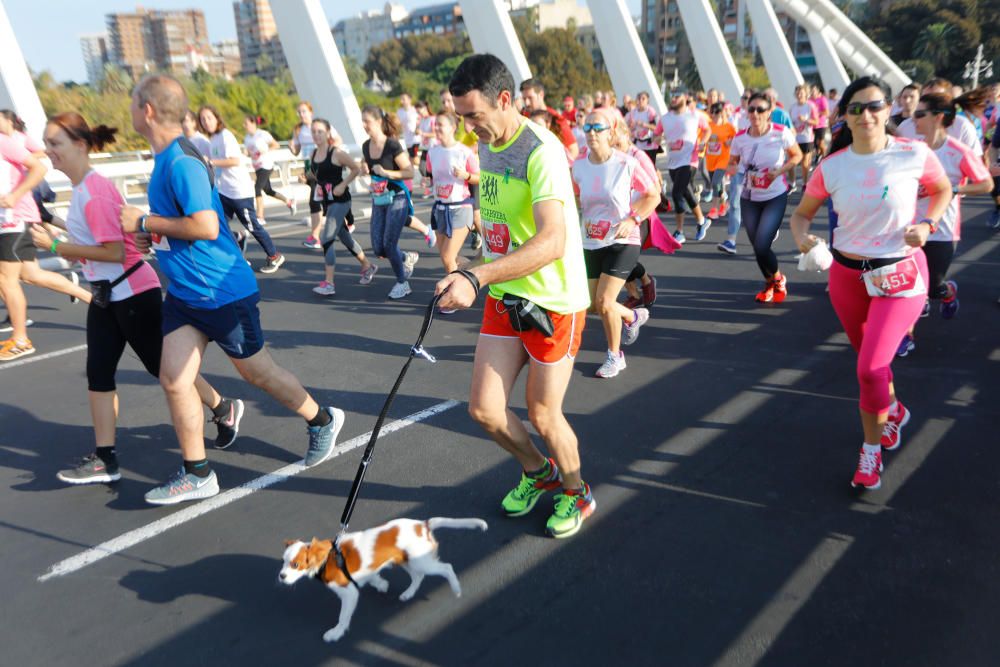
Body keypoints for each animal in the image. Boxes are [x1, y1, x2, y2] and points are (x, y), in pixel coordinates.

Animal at [280, 516, 486, 640]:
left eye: (295, 564)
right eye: (283, 561)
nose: (281, 576)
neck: (327, 558)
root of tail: (423, 524)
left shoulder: (348, 593)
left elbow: (343, 616)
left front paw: (336, 633)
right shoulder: (367, 572)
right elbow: (374, 578)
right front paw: (382, 585)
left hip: (421, 561)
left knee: (446, 568)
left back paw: (456, 588)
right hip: (407, 559)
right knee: (418, 576)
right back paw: (408, 593)